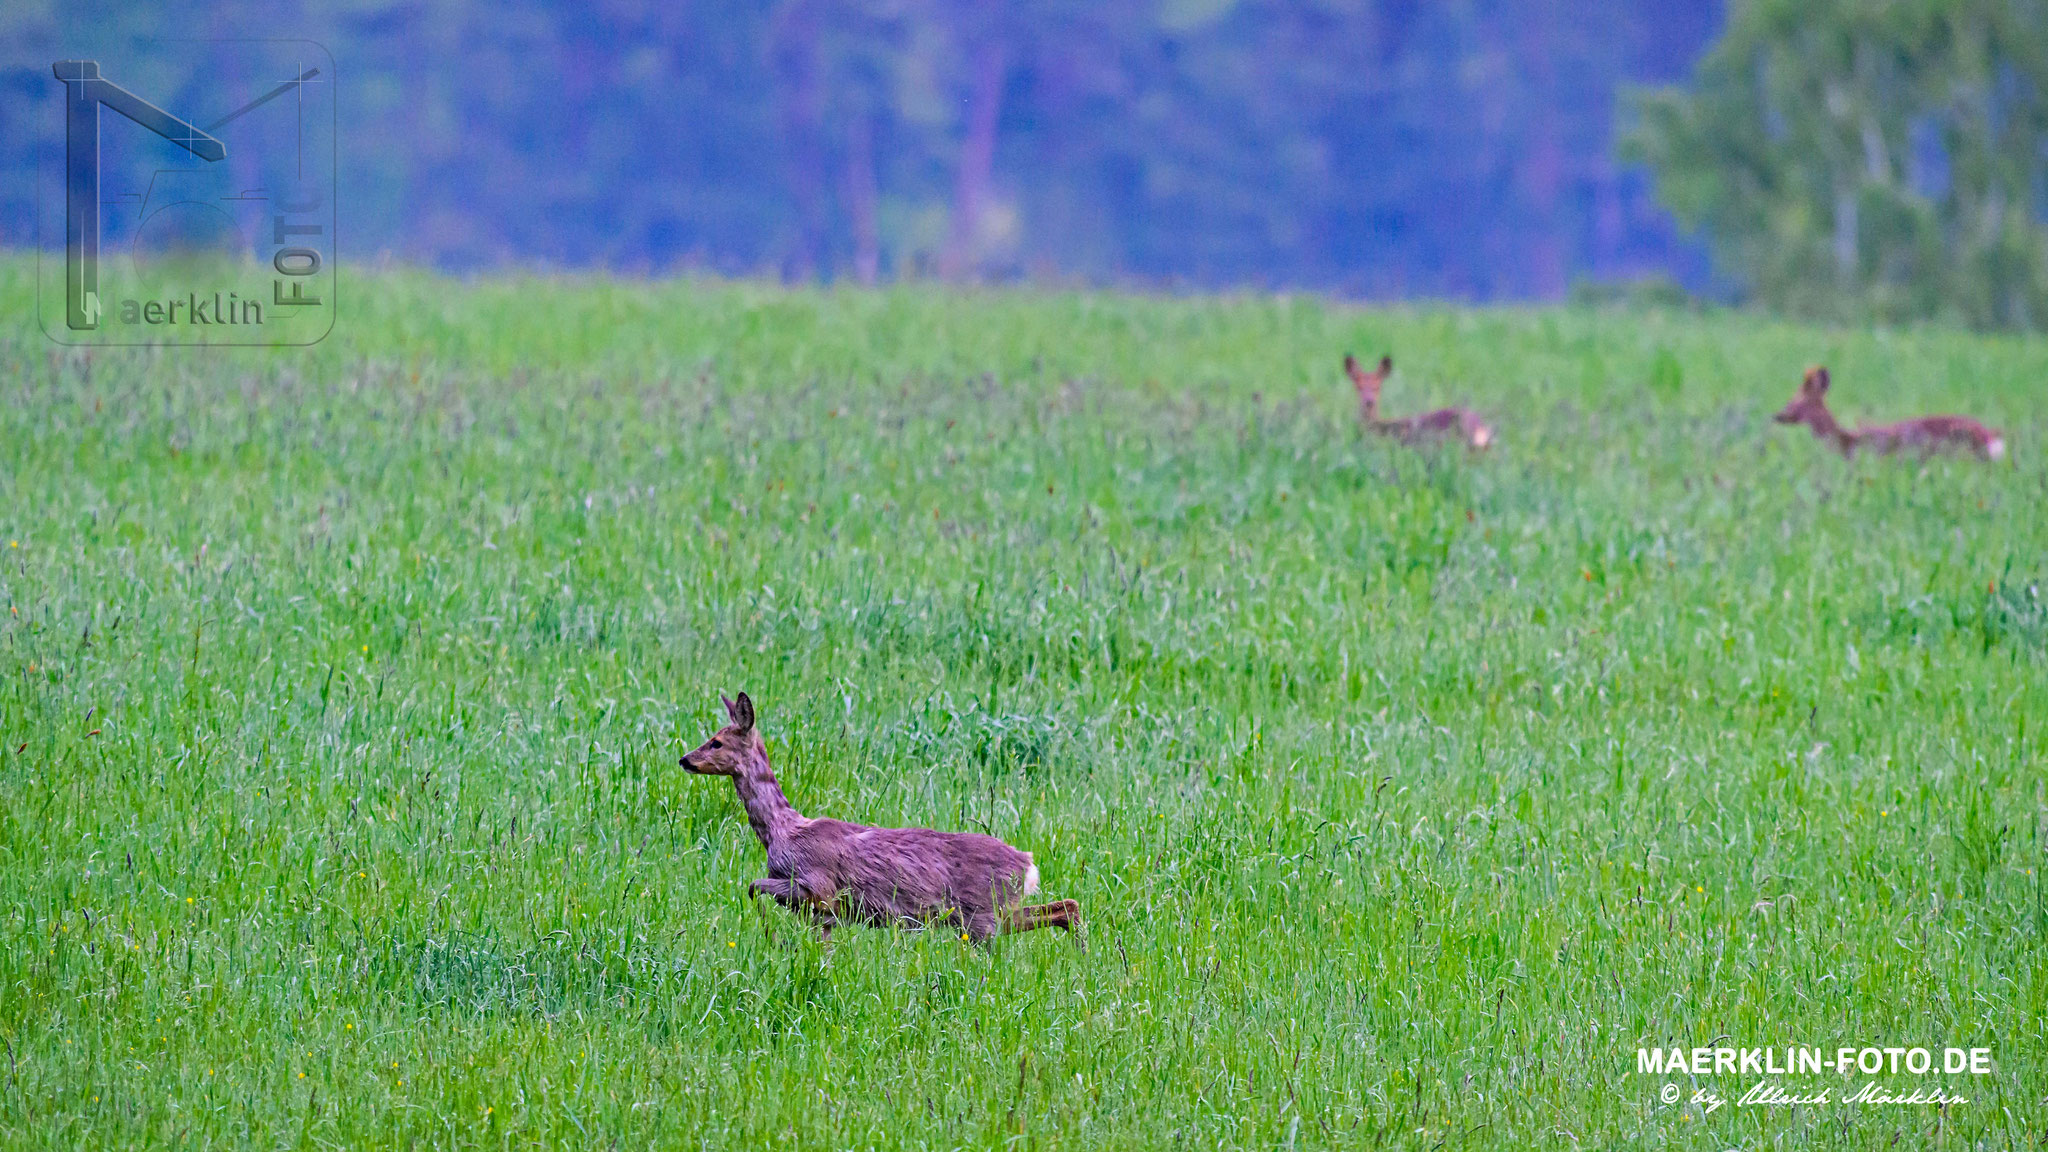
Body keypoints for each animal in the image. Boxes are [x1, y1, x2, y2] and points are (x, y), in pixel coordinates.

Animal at [679, 688, 1081, 942]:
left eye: (716, 742)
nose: (685, 759)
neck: (784, 832)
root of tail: (1028, 864)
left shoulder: (818, 887)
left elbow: (752, 887)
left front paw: (768, 934)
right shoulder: (825, 913)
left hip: (981, 915)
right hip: (988, 916)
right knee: (1066, 907)